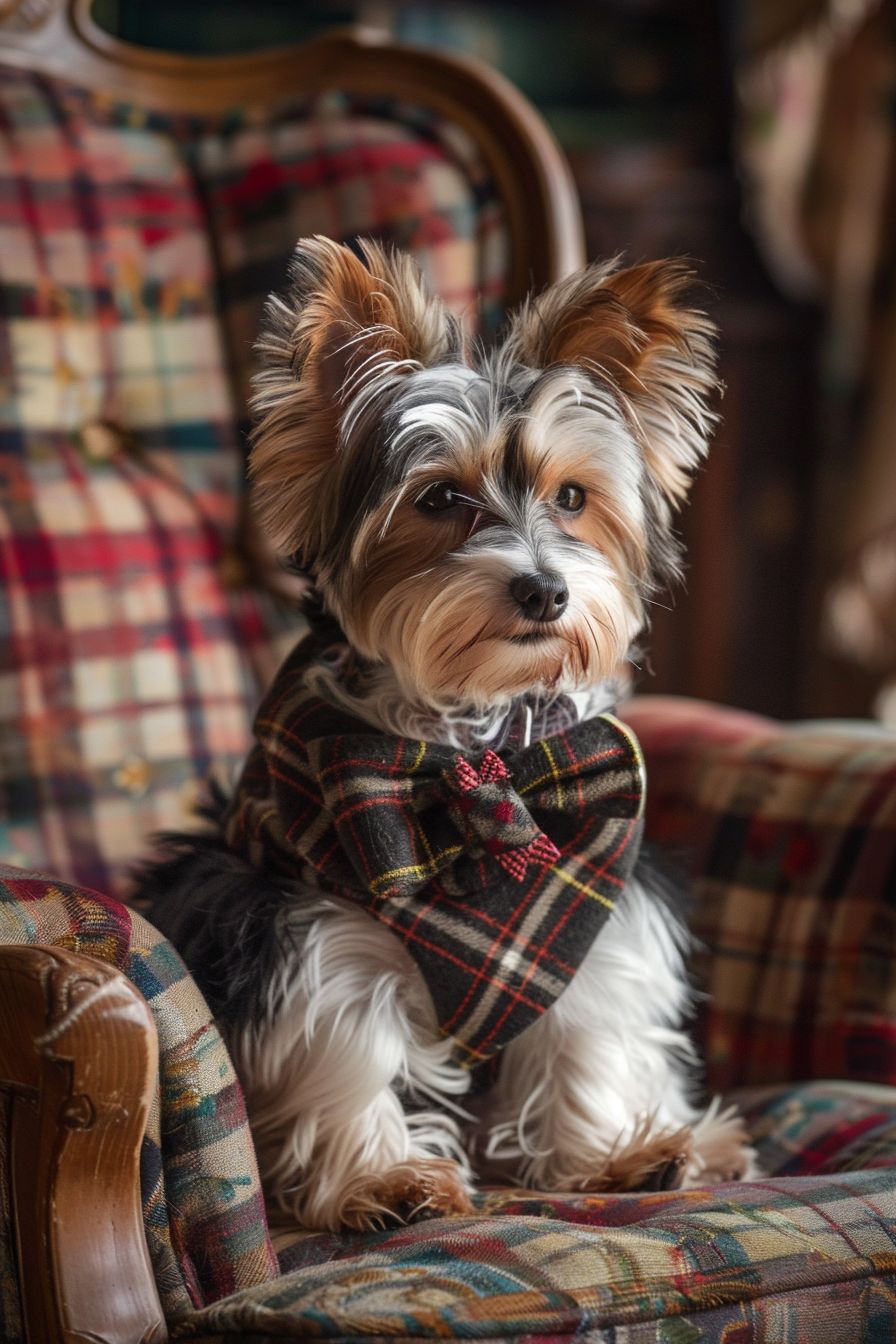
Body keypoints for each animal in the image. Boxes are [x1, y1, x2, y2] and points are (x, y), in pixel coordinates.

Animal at [140, 239, 757, 1231]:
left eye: (573, 497)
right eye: (438, 499)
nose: (544, 589)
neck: (479, 748)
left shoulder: (593, 896)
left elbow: (590, 1026)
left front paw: (608, 1156)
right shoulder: (302, 919)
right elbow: (344, 1035)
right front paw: (382, 1180)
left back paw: (692, 1139)